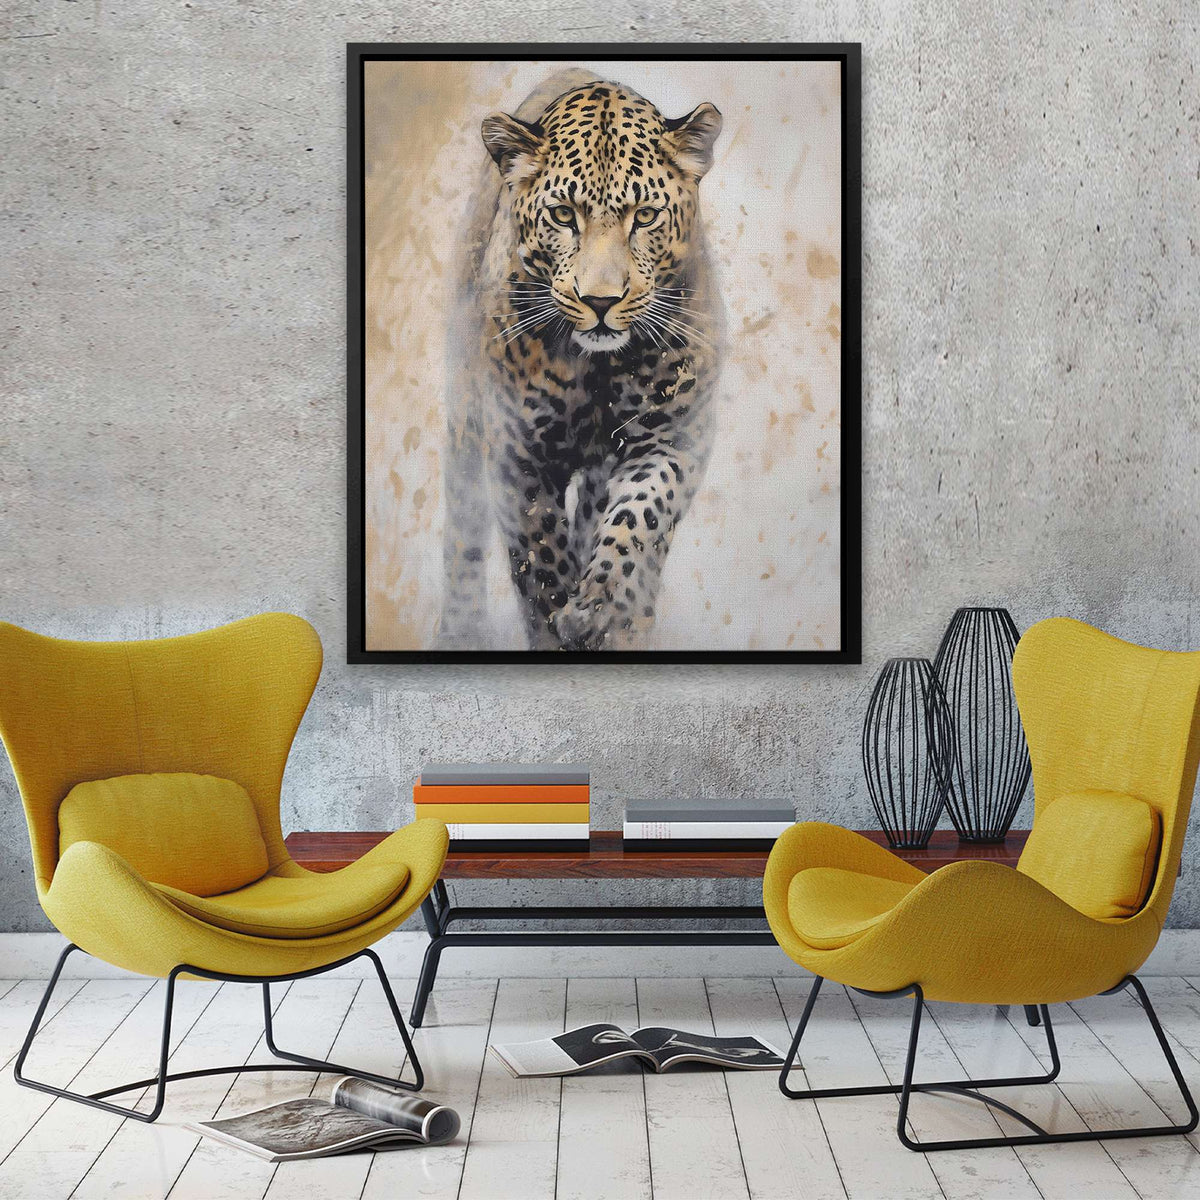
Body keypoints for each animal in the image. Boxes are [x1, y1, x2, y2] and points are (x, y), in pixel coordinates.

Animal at [439, 70, 723, 651]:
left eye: (645, 216)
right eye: (563, 215)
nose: (600, 301)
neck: (597, 369)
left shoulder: (674, 435)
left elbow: (640, 518)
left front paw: (604, 609)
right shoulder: (517, 452)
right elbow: (541, 557)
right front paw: (558, 625)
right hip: (464, 416)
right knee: (462, 528)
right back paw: (461, 629)